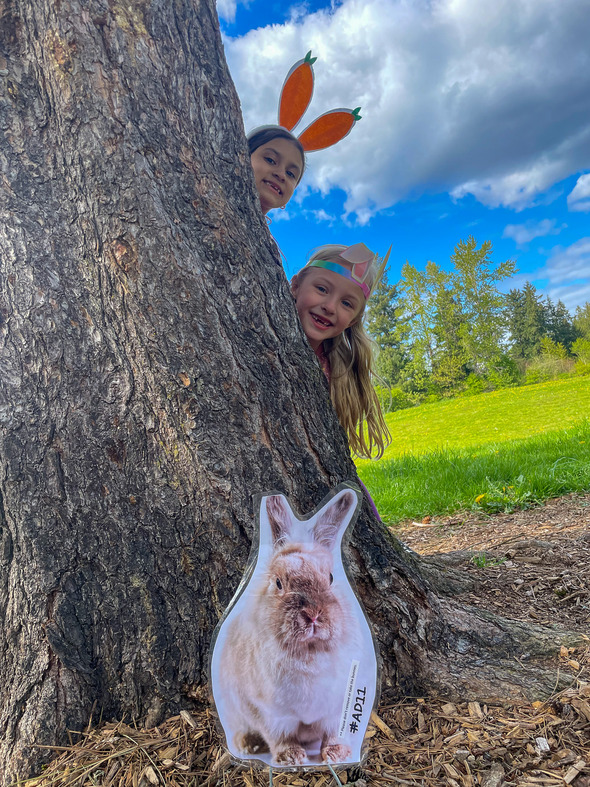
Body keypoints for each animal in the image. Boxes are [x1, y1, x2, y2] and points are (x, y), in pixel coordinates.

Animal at [218, 489, 364, 766]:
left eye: (330, 577)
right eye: (278, 583)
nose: (313, 615)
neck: (309, 652)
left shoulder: (334, 709)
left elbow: (333, 733)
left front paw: (337, 754)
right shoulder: (271, 714)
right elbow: (279, 736)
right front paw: (291, 757)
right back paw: (247, 745)